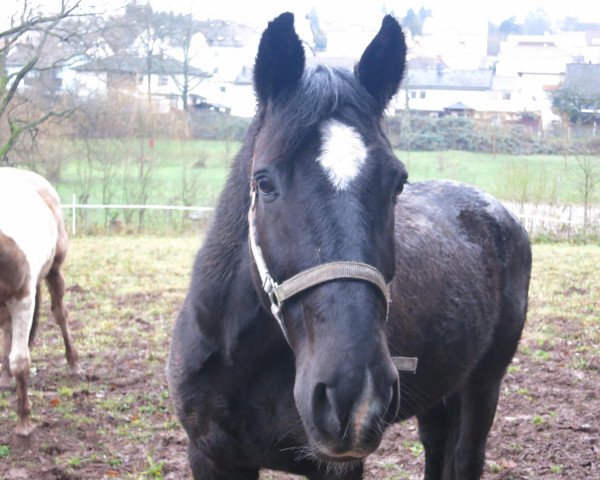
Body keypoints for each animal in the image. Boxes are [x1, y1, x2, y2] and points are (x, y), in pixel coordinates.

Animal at [0, 167, 81, 436]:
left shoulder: (24, 300)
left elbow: (21, 362)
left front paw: (24, 423)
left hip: (54, 271)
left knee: (60, 314)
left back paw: (74, 364)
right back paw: (4, 377)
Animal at [168, 13, 528, 478]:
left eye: (398, 183)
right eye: (264, 183)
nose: (354, 394)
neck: (240, 356)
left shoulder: (338, 467)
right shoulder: (210, 455)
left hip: (483, 384)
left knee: (467, 454)